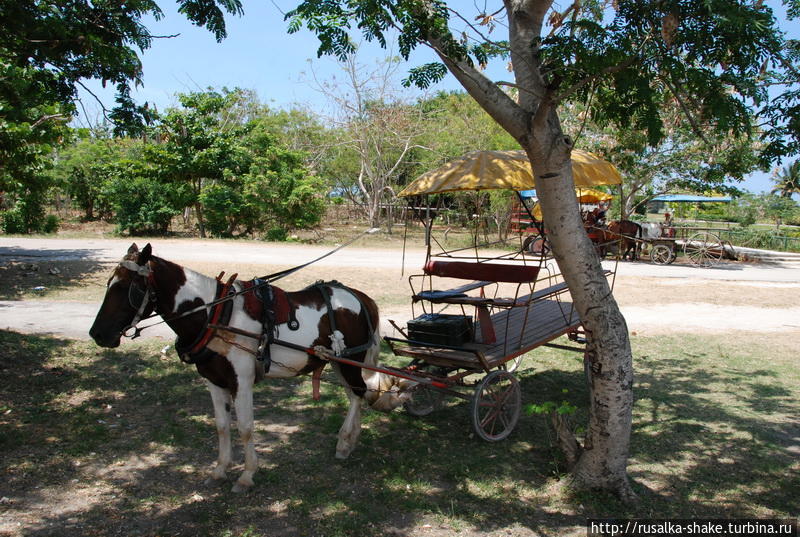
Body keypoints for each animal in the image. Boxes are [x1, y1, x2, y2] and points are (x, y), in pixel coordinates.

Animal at [90, 242, 410, 490]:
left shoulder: (241, 382)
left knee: (357, 393)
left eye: (127, 287)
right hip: (339, 362)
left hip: (351, 361)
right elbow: (221, 427)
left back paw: (344, 441)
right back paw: (350, 440)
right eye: (108, 285)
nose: (97, 334)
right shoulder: (214, 381)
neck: (215, 315)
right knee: (354, 394)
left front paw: (246, 475)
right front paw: (220, 470)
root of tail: (360, 297)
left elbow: (245, 427)